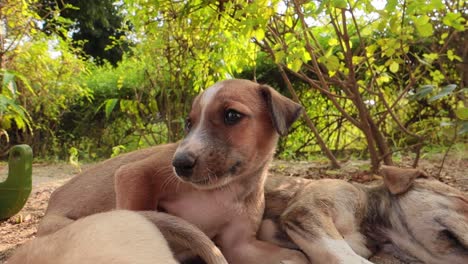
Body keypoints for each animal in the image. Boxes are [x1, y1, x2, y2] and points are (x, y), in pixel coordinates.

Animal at [36, 79, 308, 264]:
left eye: (232, 115)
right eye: (189, 123)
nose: (178, 164)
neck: (225, 190)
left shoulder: (240, 245)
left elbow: (297, 257)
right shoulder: (133, 174)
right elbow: (139, 217)